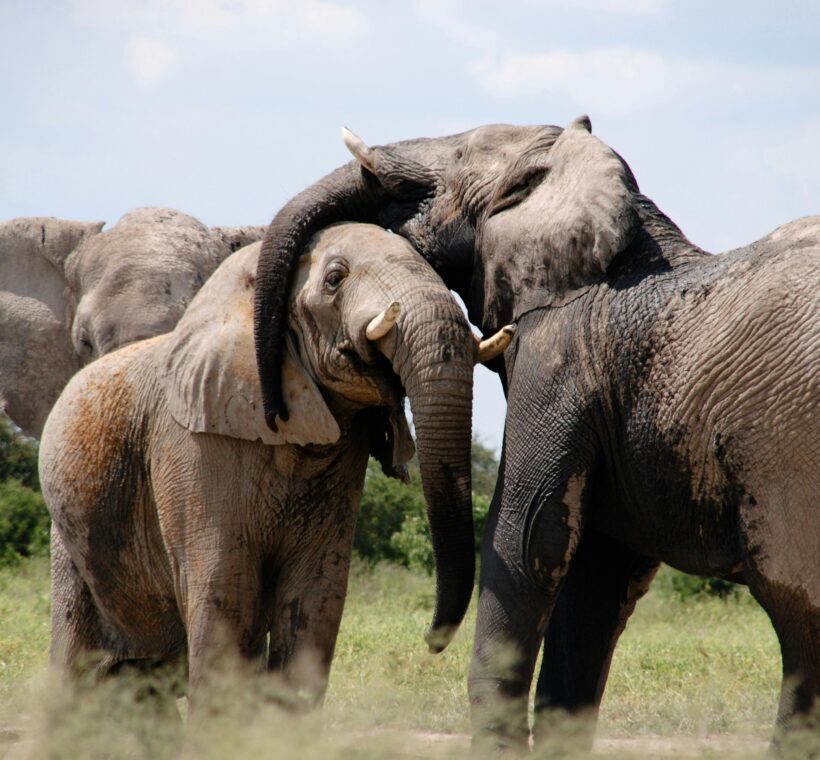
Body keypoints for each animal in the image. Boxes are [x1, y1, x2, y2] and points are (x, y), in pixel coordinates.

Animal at [39, 223, 507, 706]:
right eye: (335, 279)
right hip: (69, 537)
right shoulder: (192, 447)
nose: (431, 641)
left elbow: (316, 596)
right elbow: (225, 592)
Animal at [251, 117, 819, 749]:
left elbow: (527, 538)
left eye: (457, 156)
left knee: (799, 626)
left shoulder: (558, 356)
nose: (274, 412)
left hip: (787, 455)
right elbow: (595, 578)